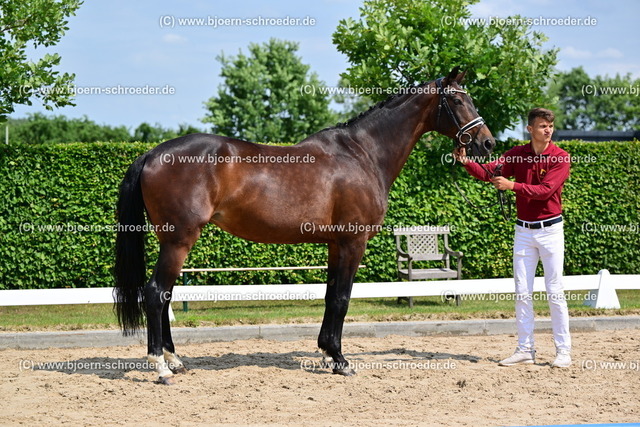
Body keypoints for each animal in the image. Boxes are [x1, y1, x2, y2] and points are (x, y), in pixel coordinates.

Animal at [114, 67, 495, 385]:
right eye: (458, 100)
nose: (487, 142)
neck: (363, 154)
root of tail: (151, 154)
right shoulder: (353, 242)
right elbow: (342, 298)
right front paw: (341, 361)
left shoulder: (335, 244)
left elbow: (330, 296)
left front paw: (327, 352)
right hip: (179, 240)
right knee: (155, 293)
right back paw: (161, 367)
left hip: (171, 241)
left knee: (165, 295)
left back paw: (175, 360)